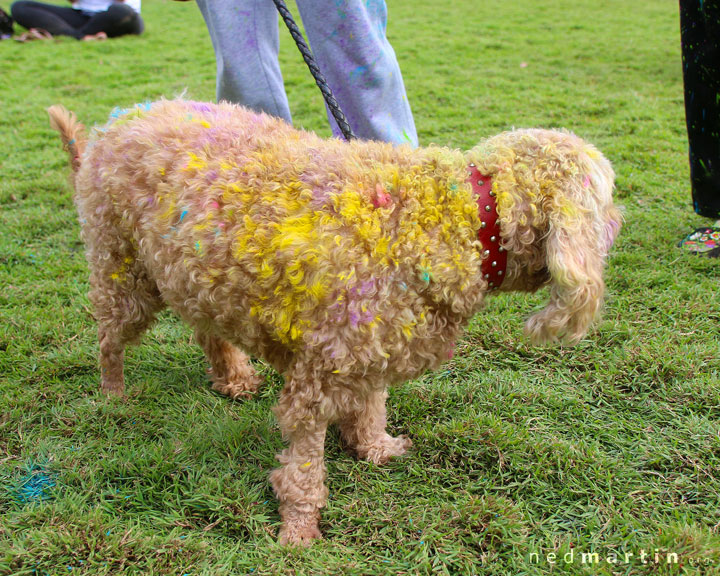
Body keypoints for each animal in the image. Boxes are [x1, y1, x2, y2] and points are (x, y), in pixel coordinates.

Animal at [47, 99, 620, 544]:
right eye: (608, 198)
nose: (618, 223)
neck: (455, 219)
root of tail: (111, 127)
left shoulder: (371, 342)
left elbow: (371, 405)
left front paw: (374, 447)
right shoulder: (319, 372)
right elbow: (304, 465)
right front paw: (298, 532)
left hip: (194, 271)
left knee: (206, 329)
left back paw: (233, 376)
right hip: (124, 269)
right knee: (109, 338)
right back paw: (114, 394)